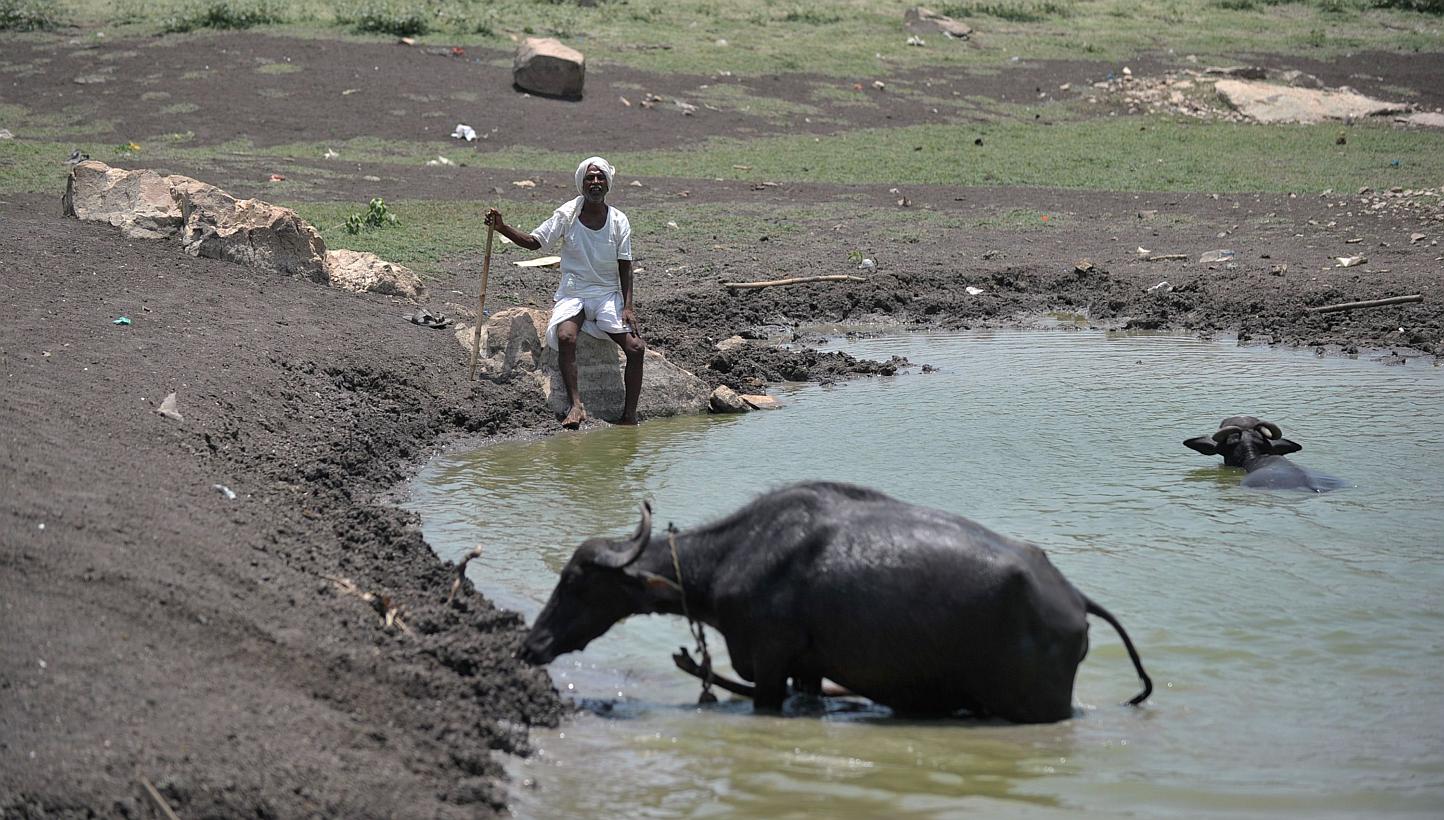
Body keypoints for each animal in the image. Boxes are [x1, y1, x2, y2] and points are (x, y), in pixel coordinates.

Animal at [517, 481, 1152, 724]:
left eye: (575, 581)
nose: (531, 645)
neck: (732, 558)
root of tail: (1074, 600)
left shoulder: (770, 666)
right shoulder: (808, 671)